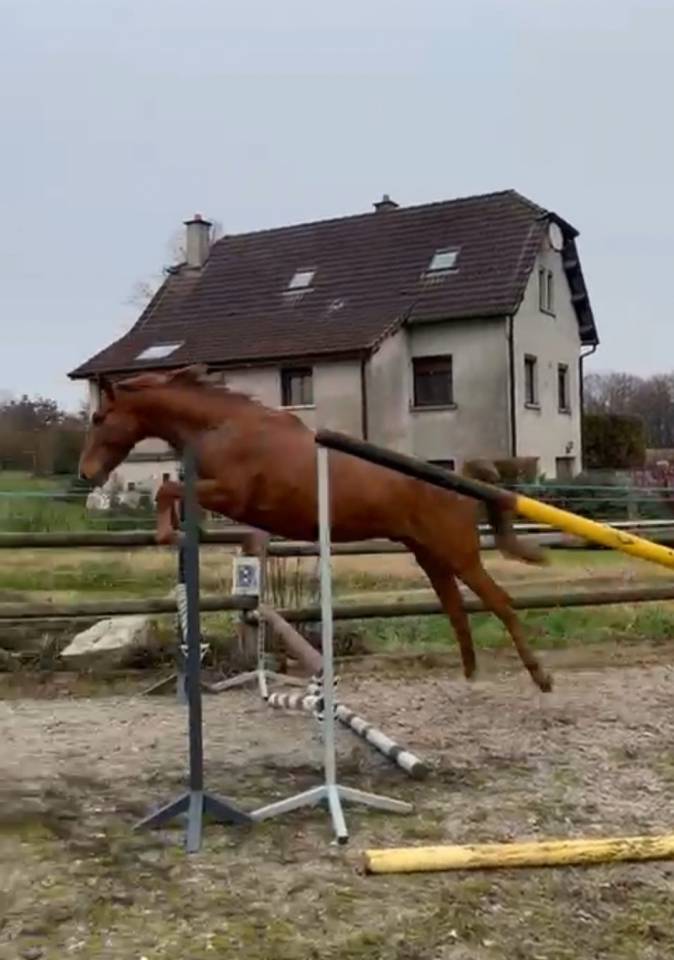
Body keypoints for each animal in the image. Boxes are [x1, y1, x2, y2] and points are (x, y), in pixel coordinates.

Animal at [78, 364, 552, 692]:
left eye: (99, 418)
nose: (87, 474)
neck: (223, 426)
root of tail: (463, 481)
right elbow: (172, 490)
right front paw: (174, 531)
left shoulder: (231, 495)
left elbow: (168, 489)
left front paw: (166, 533)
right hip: (430, 556)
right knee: (456, 609)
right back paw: (470, 675)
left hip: (458, 553)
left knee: (501, 603)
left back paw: (540, 678)